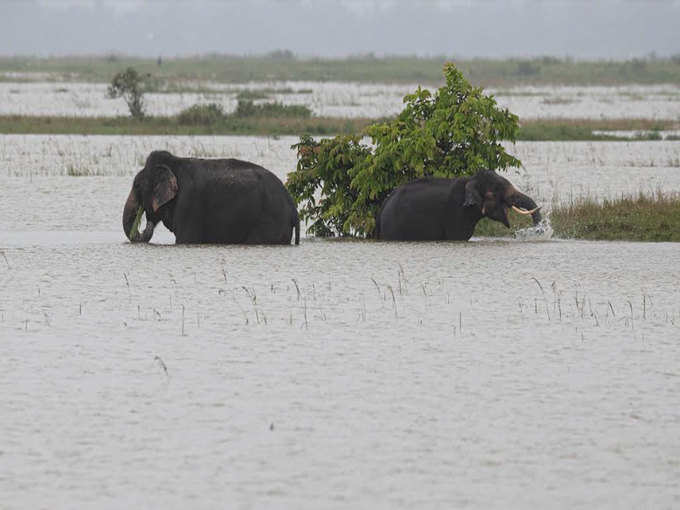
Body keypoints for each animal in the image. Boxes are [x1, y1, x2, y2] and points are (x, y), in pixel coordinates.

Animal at [125, 149, 300, 245]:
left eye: (137, 186)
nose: (146, 225)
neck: (174, 163)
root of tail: (292, 206)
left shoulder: (189, 202)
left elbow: (186, 239)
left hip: (270, 222)